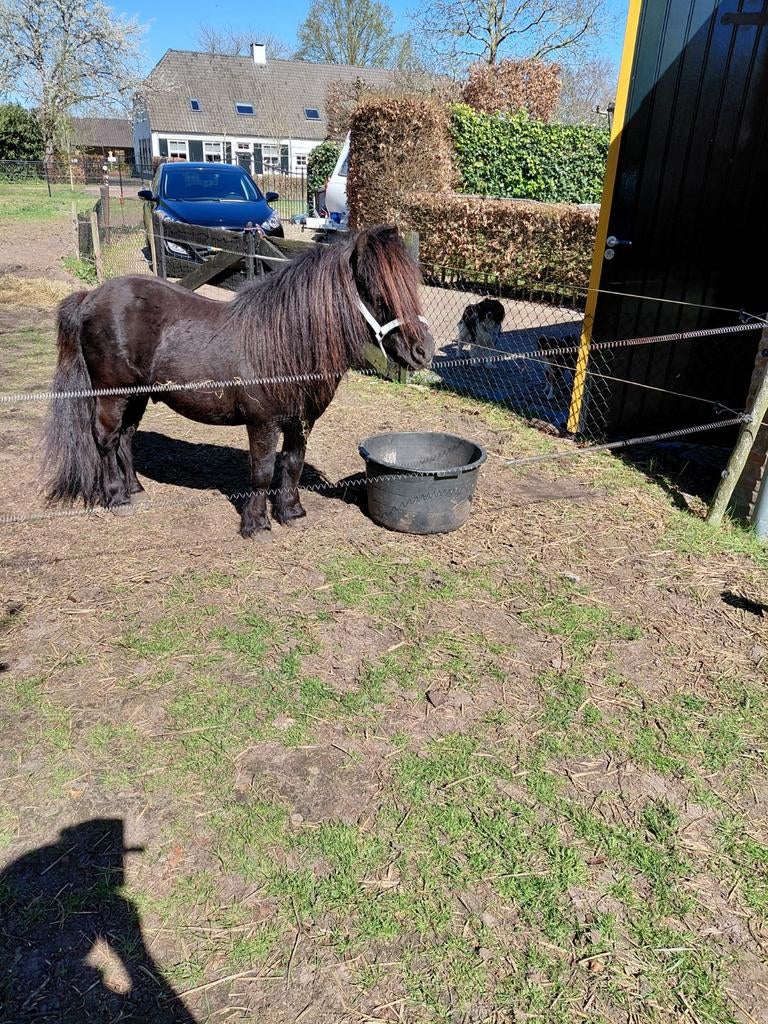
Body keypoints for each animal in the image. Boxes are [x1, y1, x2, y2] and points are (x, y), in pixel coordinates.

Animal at [42, 225, 435, 536]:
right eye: (378, 292)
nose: (424, 351)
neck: (283, 342)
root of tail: (90, 296)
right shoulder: (262, 423)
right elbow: (262, 470)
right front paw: (256, 524)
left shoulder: (301, 422)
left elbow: (292, 462)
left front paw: (292, 512)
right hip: (112, 394)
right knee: (106, 438)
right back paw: (117, 496)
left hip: (138, 394)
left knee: (126, 437)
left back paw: (136, 489)